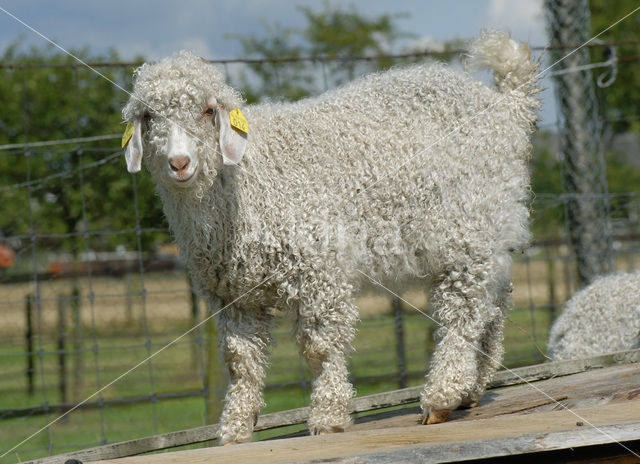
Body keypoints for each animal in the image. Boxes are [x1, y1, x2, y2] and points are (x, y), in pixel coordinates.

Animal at [121, 30, 540, 444]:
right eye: (148, 116)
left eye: (208, 111)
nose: (179, 163)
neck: (245, 180)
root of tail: (506, 105)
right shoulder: (233, 297)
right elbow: (241, 362)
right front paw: (235, 428)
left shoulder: (317, 271)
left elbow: (320, 348)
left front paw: (328, 415)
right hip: (490, 234)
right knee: (494, 305)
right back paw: (472, 388)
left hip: (467, 226)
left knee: (464, 309)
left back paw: (441, 395)